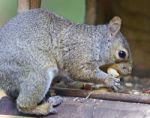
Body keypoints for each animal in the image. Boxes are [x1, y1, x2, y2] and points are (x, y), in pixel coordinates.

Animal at [0, 9, 132, 115]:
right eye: (122, 53)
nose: (129, 71)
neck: (95, 43)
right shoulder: (77, 55)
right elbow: (78, 72)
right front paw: (109, 80)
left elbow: (70, 80)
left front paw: (90, 84)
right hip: (37, 73)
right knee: (22, 104)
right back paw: (45, 108)